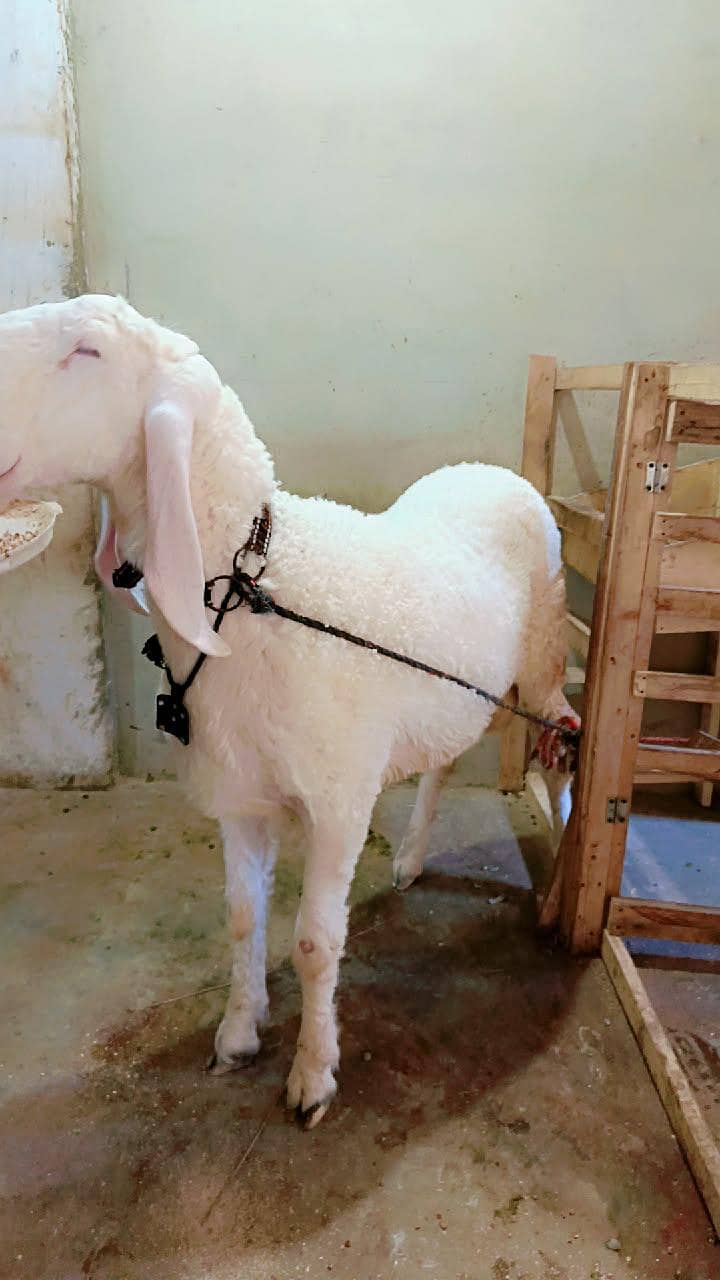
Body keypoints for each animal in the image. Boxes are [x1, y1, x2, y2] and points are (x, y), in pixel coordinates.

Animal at [0, 294, 578, 1127]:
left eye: (88, 352)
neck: (257, 589)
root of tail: (497, 471)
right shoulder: (242, 795)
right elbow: (243, 918)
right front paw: (239, 1033)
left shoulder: (339, 803)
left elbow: (313, 943)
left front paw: (313, 1074)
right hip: (461, 691)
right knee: (443, 761)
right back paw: (411, 858)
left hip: (543, 655)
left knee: (561, 743)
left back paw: (565, 876)